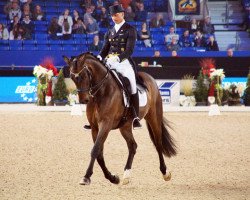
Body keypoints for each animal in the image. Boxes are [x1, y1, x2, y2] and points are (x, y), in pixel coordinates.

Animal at [64, 52, 178, 185]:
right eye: (72, 77)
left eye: (83, 75)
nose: (84, 100)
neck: (102, 91)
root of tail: (149, 78)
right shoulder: (94, 127)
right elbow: (99, 153)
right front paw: (113, 178)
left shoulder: (106, 124)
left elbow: (95, 150)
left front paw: (86, 177)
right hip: (125, 126)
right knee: (133, 146)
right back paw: (126, 175)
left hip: (153, 117)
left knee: (158, 144)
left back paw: (165, 173)